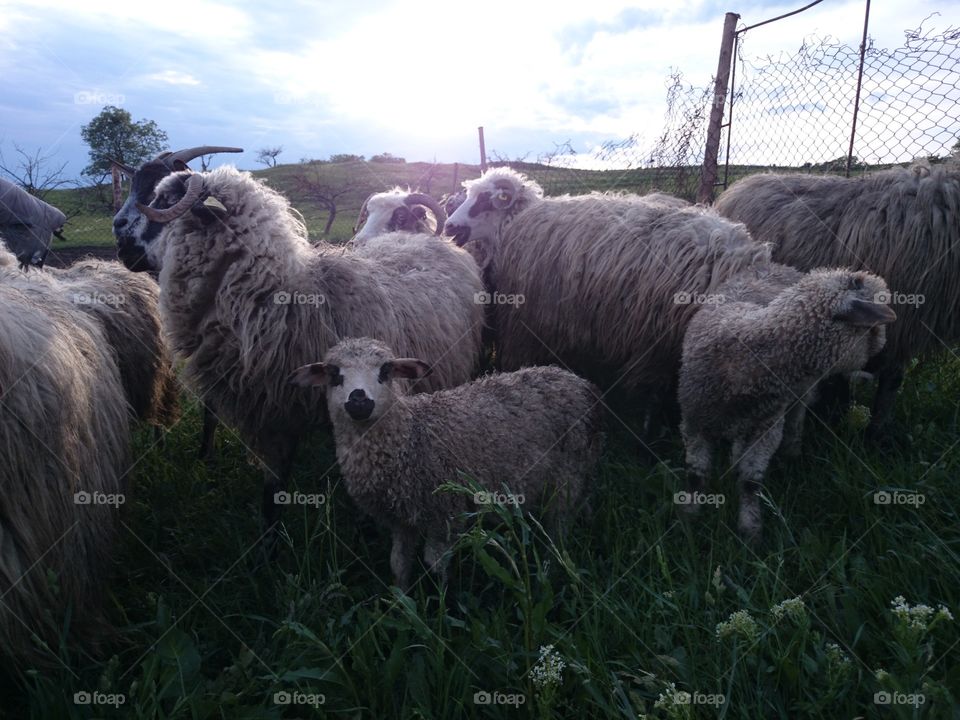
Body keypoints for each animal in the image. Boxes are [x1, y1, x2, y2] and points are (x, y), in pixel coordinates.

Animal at [135, 166, 484, 536]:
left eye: (165, 201)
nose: (123, 243)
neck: (280, 296)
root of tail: (426, 240)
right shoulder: (270, 412)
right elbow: (272, 491)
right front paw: (269, 540)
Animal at [291, 337, 602, 590]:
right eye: (334, 374)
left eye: (385, 371)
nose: (359, 401)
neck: (410, 437)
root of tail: (576, 380)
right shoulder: (401, 520)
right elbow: (398, 564)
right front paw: (400, 603)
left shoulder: (446, 513)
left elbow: (435, 565)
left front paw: (441, 606)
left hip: (567, 479)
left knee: (558, 533)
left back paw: (548, 574)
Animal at [443, 167, 770, 439]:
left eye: (484, 200)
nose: (449, 227)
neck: (513, 225)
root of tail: (746, 259)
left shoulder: (527, 324)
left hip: (658, 337)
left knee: (654, 391)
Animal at [678, 266, 896, 541]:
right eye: (873, 328)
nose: (879, 351)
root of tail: (771, 265)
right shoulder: (694, 422)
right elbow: (695, 475)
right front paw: (689, 520)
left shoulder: (766, 429)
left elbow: (750, 482)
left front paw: (750, 531)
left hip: (798, 393)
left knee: (796, 415)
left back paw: (791, 451)